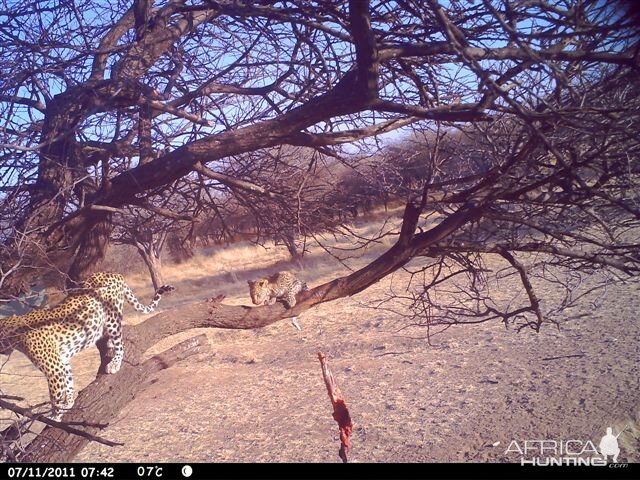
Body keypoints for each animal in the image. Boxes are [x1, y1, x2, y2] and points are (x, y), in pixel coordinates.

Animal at [0, 274, 175, 420]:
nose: (2, 353)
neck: (15, 333)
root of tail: (114, 274)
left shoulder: (54, 370)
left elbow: (55, 397)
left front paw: (55, 417)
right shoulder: (62, 361)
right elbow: (69, 382)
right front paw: (69, 402)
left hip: (112, 317)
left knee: (120, 343)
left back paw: (114, 363)